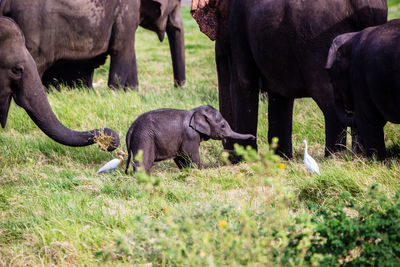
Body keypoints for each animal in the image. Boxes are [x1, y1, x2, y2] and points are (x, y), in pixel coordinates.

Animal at [126, 104, 256, 174]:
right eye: (223, 125)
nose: (254, 137)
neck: (195, 111)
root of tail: (131, 129)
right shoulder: (190, 136)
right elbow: (191, 154)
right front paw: (199, 171)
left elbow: (180, 157)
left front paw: (186, 172)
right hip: (144, 138)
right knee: (143, 163)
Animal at [191, 0, 388, 159]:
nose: (229, 158)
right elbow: (280, 96)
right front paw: (281, 159)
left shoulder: (238, 28)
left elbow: (244, 84)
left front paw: (246, 159)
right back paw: (358, 156)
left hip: (318, 40)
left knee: (329, 103)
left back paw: (334, 158)